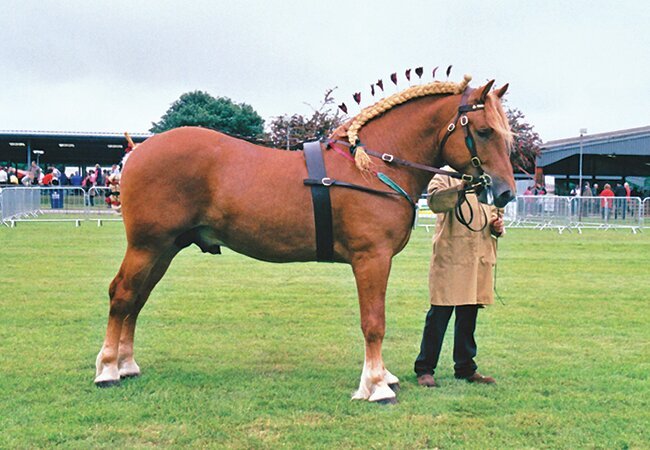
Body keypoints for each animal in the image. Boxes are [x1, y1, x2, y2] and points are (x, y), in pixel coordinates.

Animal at [95, 75, 512, 402]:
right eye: (484, 131)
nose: (505, 192)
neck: (370, 167)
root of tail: (138, 151)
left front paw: (383, 377)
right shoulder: (371, 258)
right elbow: (373, 321)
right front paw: (376, 385)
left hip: (164, 249)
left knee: (137, 299)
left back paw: (126, 364)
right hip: (147, 246)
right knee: (123, 294)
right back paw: (108, 369)